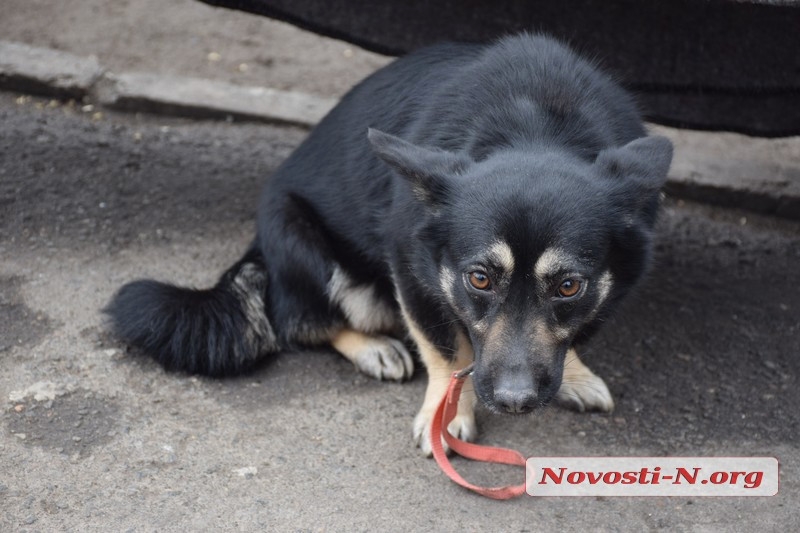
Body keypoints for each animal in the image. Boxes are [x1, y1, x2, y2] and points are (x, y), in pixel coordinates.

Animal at [104, 33, 668, 454]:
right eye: (480, 278)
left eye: (569, 286)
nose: (514, 401)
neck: (537, 123)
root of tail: (258, 247)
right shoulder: (413, 272)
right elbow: (446, 350)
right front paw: (446, 416)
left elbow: (570, 336)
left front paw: (574, 374)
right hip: (305, 245)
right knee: (299, 321)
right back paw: (372, 347)